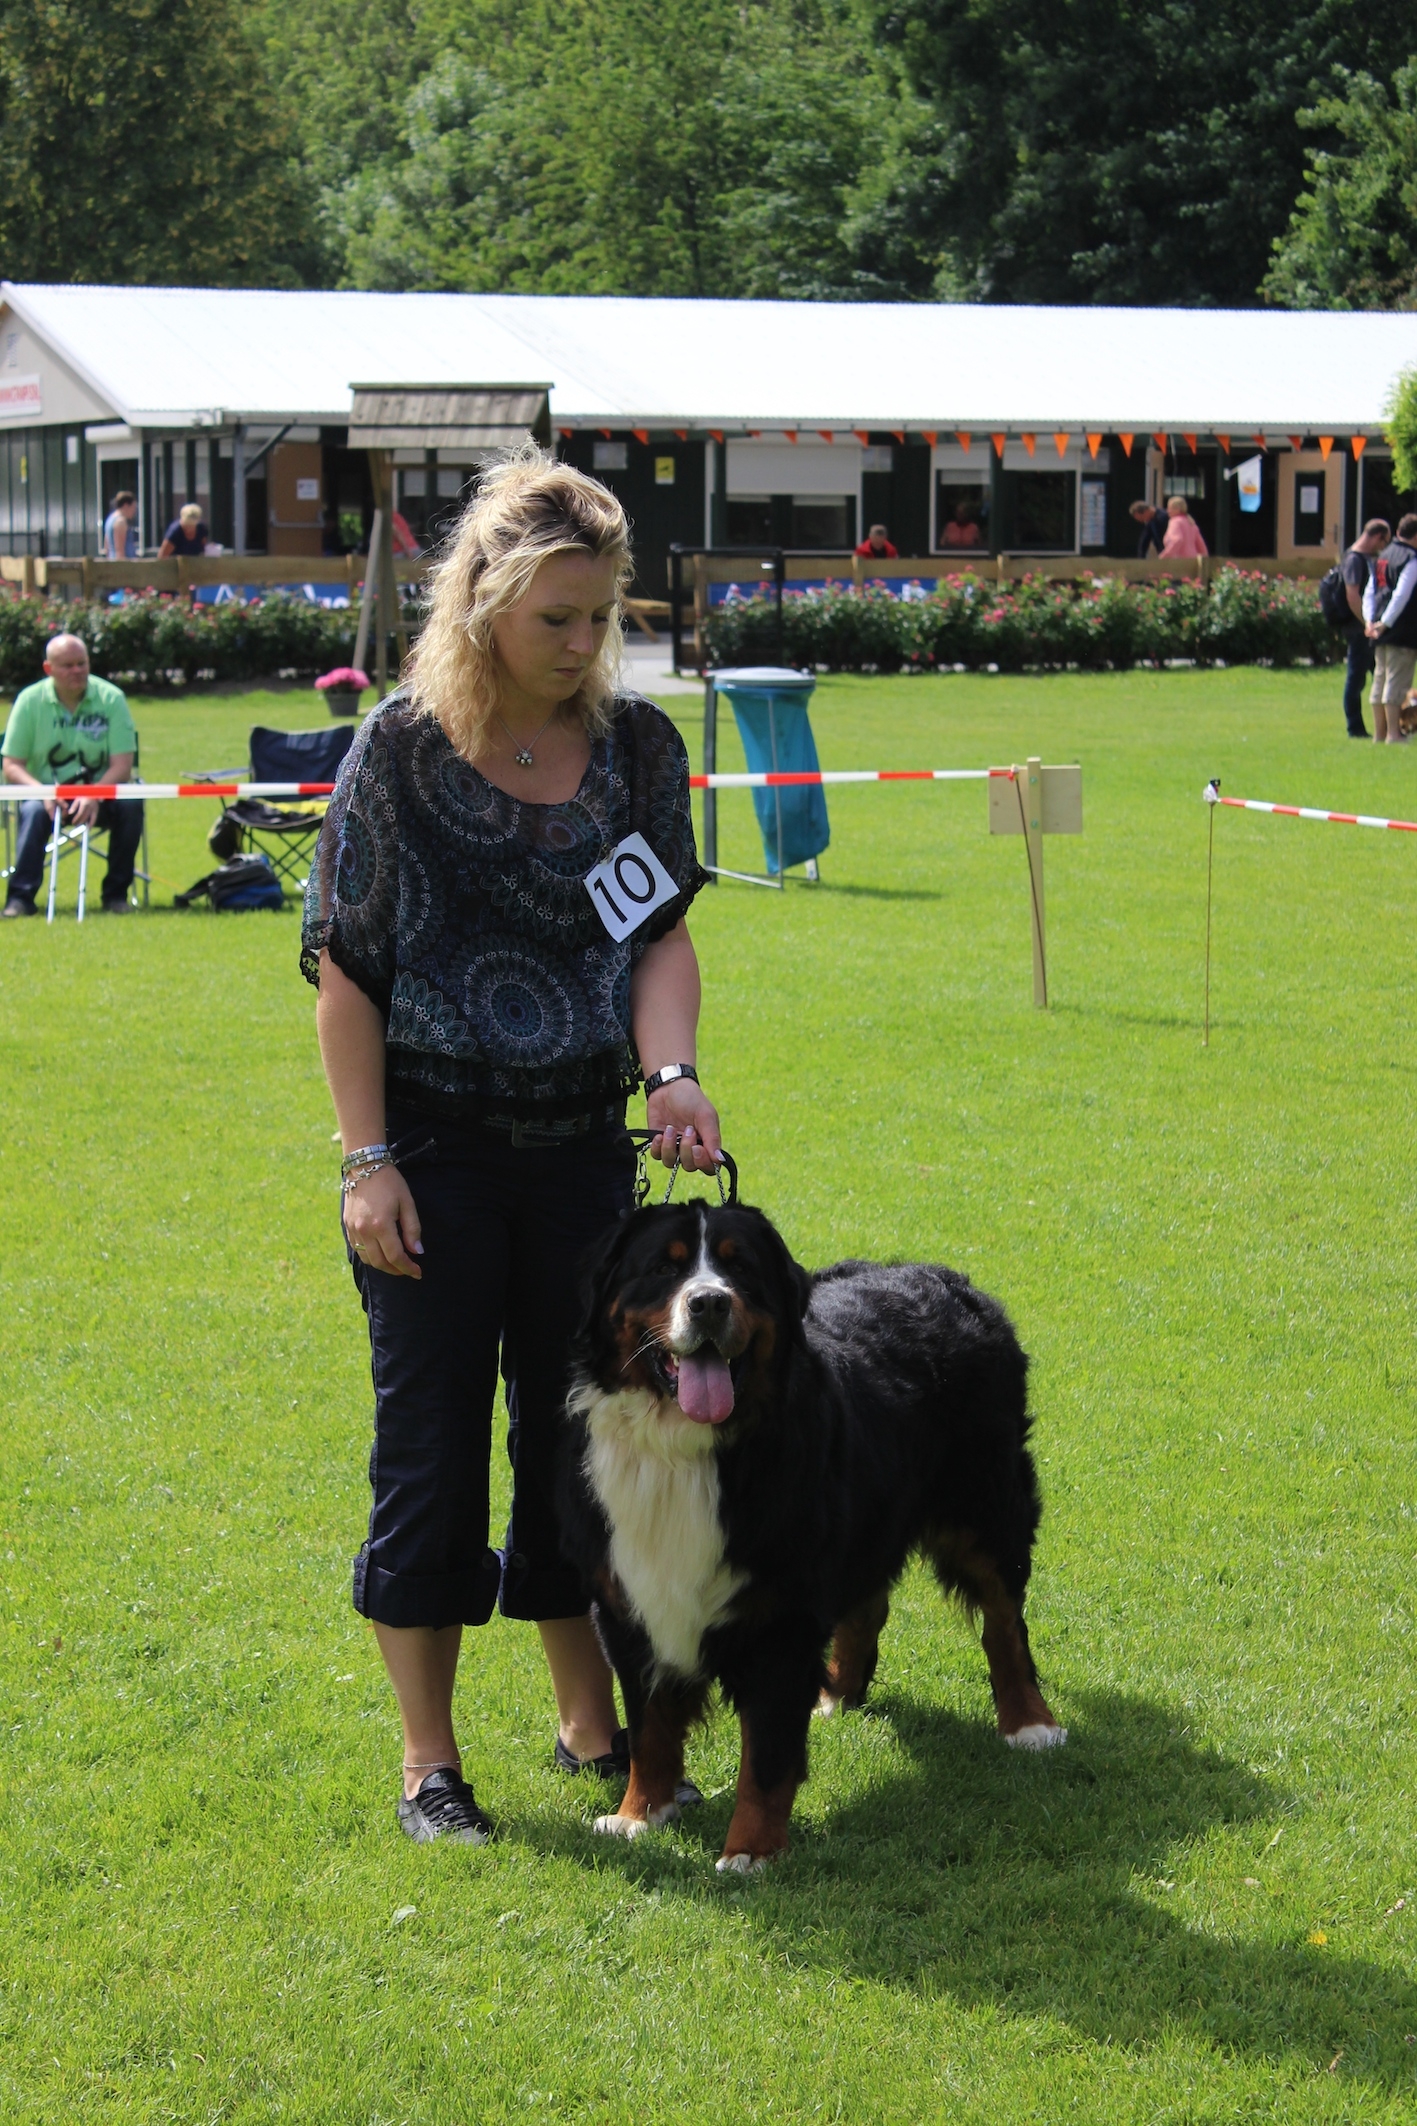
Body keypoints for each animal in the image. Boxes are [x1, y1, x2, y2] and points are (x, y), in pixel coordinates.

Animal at [560, 1207, 1062, 1870]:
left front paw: (751, 1851)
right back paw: (838, 1693)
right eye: (665, 1267)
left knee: (1004, 1620)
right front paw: (639, 1814)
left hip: (986, 1503)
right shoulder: (631, 1603)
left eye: (740, 1267)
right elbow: (649, 1727)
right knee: (867, 1606)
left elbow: (766, 1758)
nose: (709, 1303)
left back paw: (1029, 1722)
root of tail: (942, 1275)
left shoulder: (780, 1617)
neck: (688, 1451)